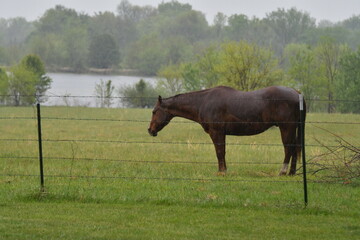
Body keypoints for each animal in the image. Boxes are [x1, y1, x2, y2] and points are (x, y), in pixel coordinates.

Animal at [148, 86, 306, 174]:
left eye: (154, 111)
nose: (150, 130)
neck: (203, 102)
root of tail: (296, 93)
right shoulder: (221, 134)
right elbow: (222, 152)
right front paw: (224, 170)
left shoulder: (216, 132)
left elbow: (219, 152)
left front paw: (222, 171)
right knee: (294, 148)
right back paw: (292, 172)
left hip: (286, 127)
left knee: (288, 148)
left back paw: (283, 171)